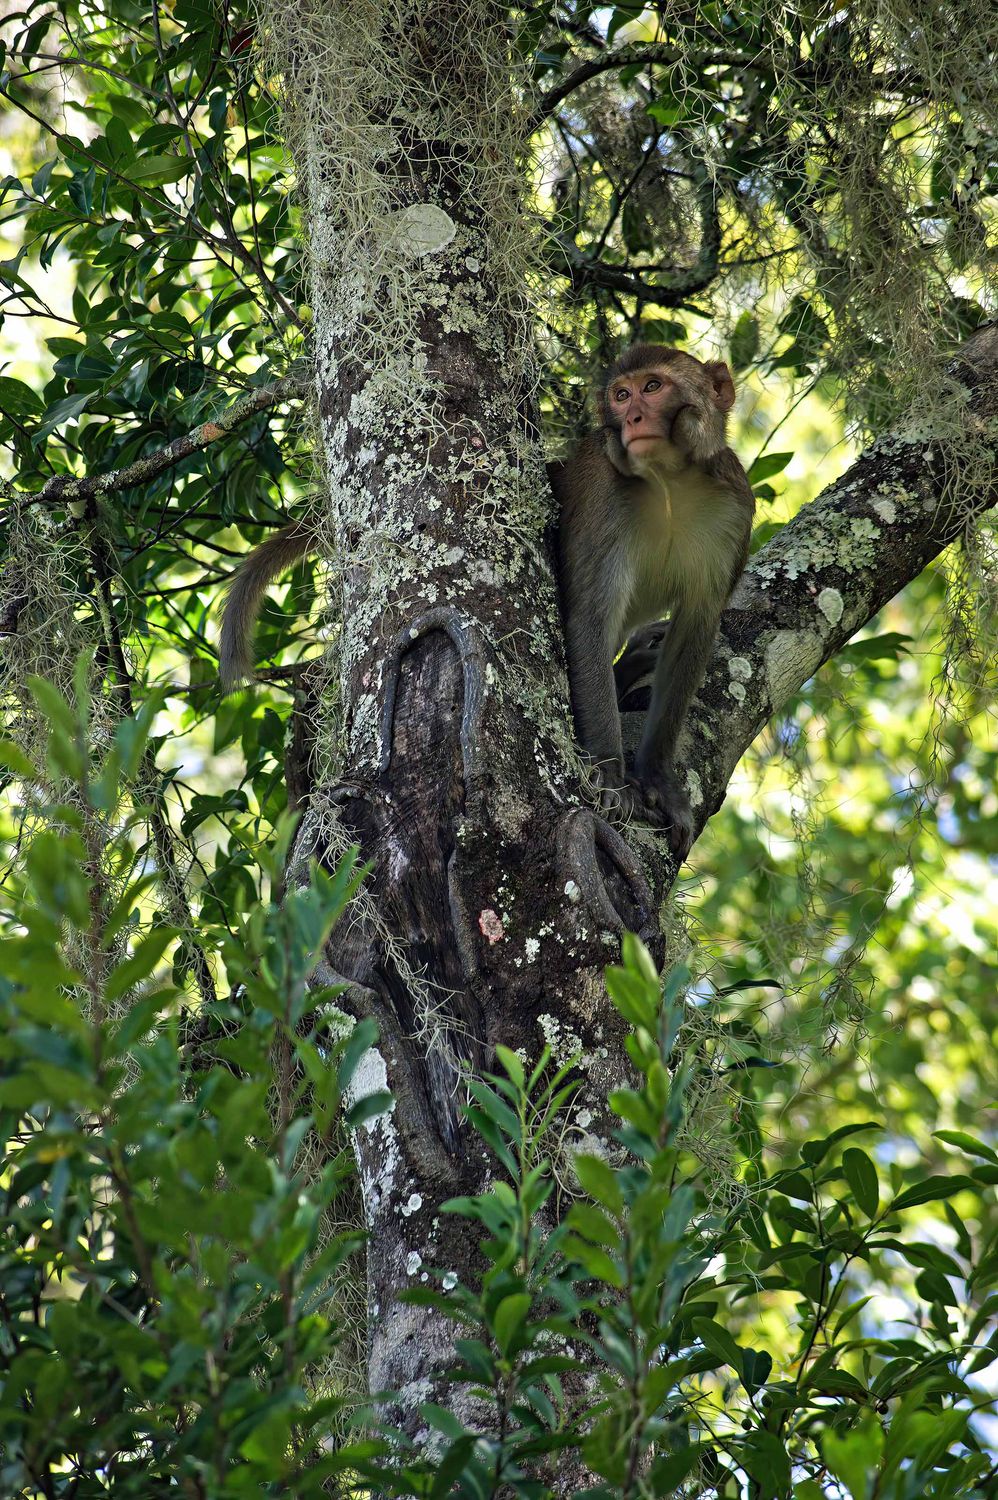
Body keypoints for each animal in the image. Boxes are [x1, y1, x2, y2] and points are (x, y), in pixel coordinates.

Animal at [550, 343, 755, 858]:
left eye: (653, 386)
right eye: (621, 395)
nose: (634, 417)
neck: (668, 481)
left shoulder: (735, 506)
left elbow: (695, 630)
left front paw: (658, 778)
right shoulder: (601, 489)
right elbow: (591, 617)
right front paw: (608, 770)